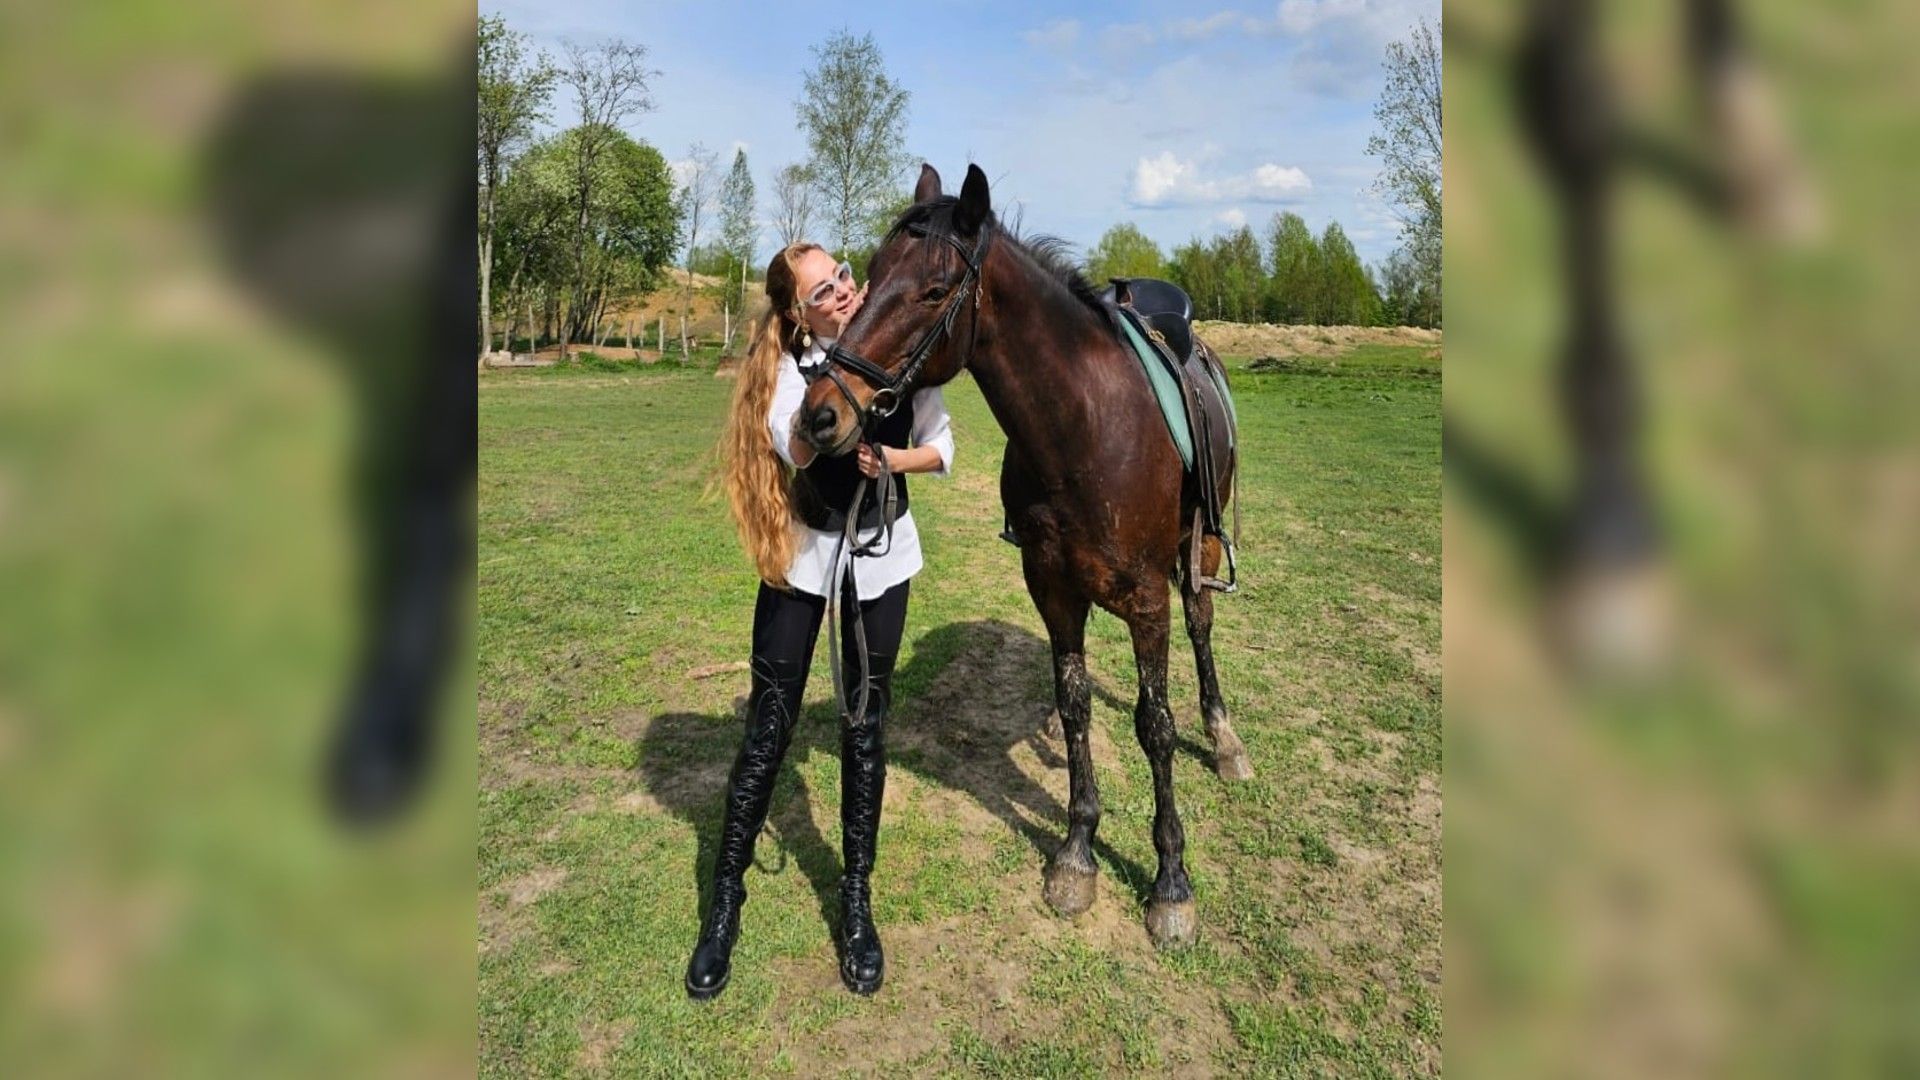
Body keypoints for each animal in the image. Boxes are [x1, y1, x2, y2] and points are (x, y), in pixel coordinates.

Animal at [797, 162, 1252, 950]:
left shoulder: (1146, 603)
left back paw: (1222, 737)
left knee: (1201, 625)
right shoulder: (1054, 592)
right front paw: (1077, 853)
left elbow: (1155, 727)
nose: (822, 412)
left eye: (933, 290)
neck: (1084, 429)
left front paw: (1171, 881)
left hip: (1201, 542)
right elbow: (1073, 709)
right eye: (870, 276)